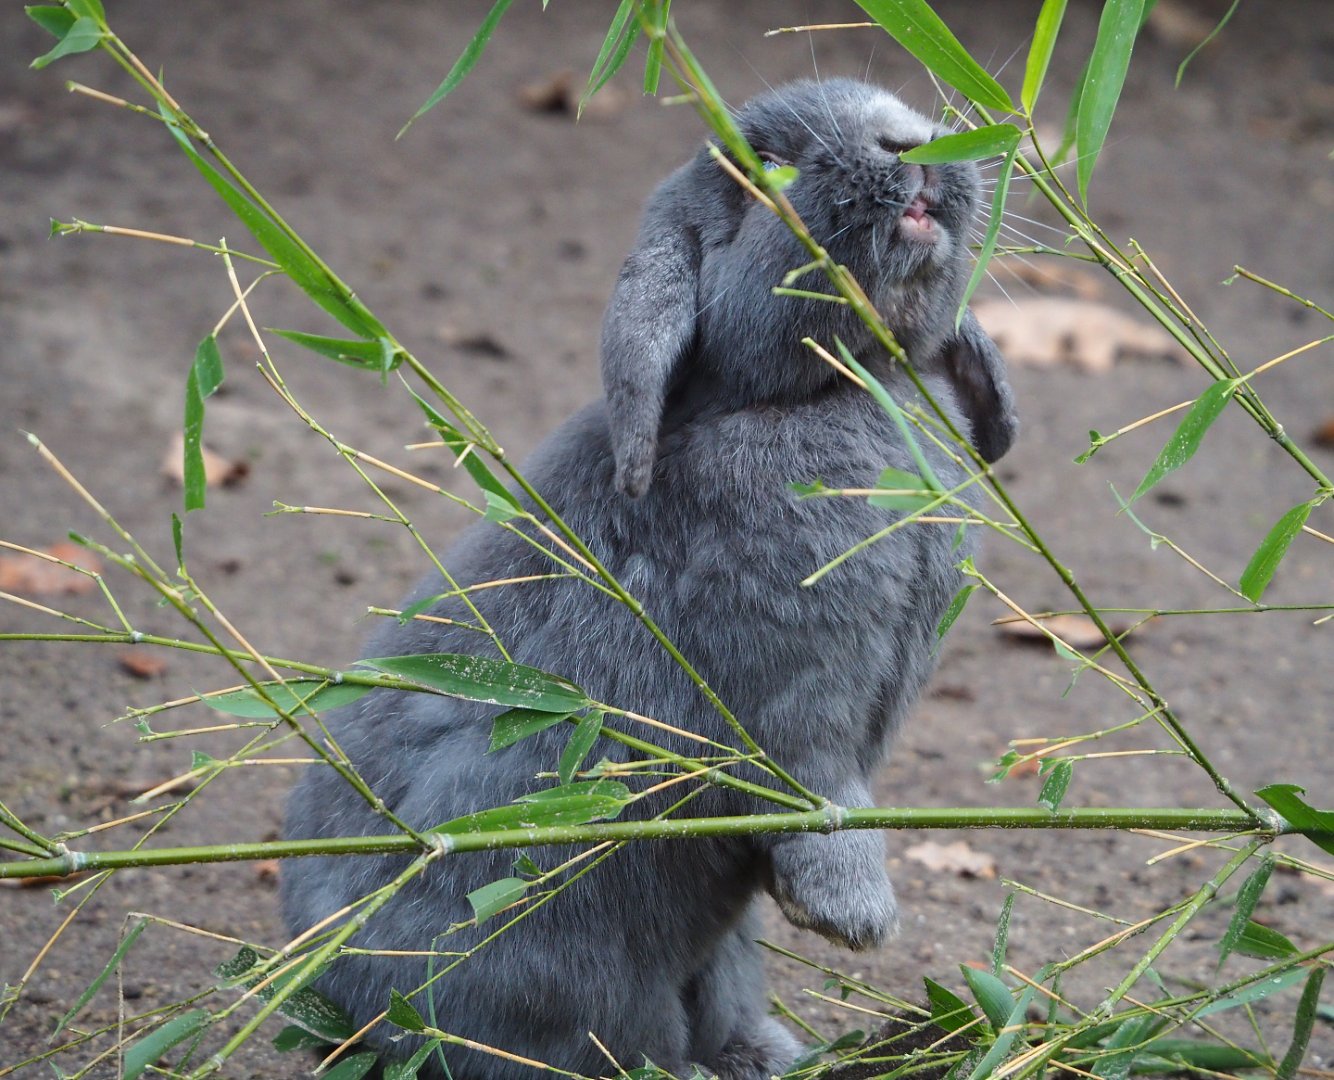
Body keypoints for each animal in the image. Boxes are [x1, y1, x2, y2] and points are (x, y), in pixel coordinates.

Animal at [281, 77, 1017, 1080]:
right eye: (763, 169)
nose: (907, 145)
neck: (834, 384)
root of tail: (326, 998)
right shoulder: (793, 700)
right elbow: (821, 796)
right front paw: (855, 921)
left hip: (711, 948)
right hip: (555, 952)